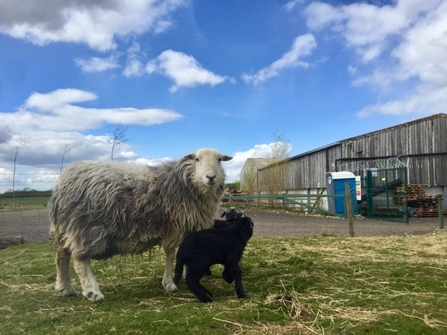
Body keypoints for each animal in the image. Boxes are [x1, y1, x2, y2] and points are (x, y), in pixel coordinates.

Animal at [48, 148, 233, 304]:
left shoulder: (189, 228)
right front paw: (169, 283)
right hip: (85, 228)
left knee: (61, 255)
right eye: (196, 159)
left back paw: (65, 288)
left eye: (219, 159)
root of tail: (62, 184)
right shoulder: (175, 226)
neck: (186, 183)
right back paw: (93, 292)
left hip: (67, 228)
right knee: (79, 259)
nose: (211, 177)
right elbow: (170, 254)